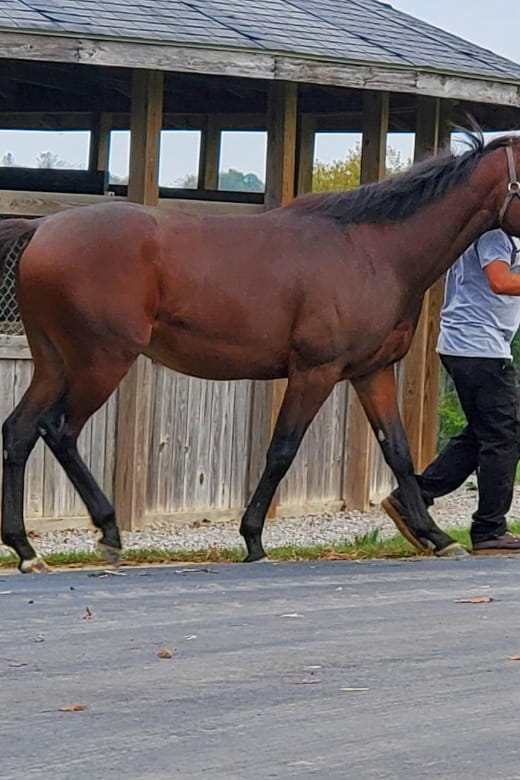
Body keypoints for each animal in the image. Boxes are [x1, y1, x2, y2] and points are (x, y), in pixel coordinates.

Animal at [1, 132, 520, 573]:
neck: (373, 250)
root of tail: (42, 228)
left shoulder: (371, 373)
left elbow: (397, 451)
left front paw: (436, 536)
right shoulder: (315, 371)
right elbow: (282, 450)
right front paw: (253, 539)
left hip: (53, 364)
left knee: (19, 432)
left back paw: (26, 549)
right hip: (102, 361)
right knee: (60, 430)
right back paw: (107, 532)